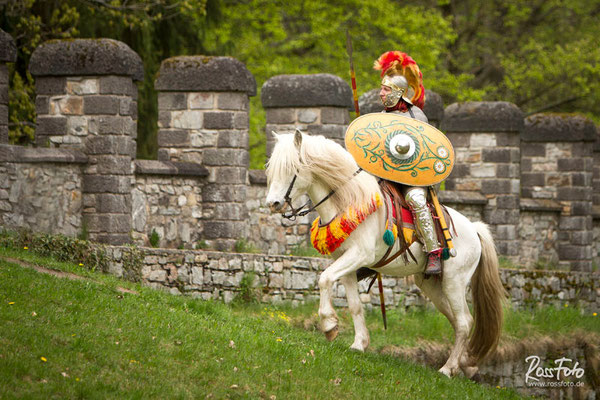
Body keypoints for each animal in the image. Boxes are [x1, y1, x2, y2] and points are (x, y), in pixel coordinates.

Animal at [268, 130, 506, 378]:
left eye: (292, 169)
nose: (272, 203)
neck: (350, 200)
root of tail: (474, 228)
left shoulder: (359, 255)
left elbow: (324, 279)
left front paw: (329, 325)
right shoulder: (345, 263)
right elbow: (354, 303)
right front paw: (359, 343)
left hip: (454, 281)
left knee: (464, 322)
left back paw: (447, 369)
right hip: (432, 284)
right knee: (458, 321)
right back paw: (466, 363)